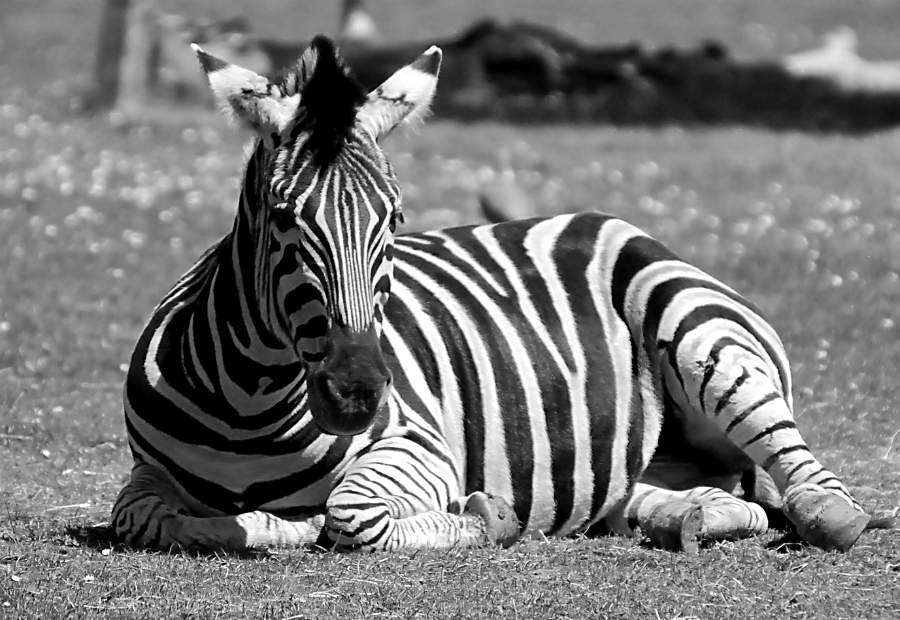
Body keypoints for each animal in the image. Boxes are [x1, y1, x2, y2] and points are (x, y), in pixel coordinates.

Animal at [112, 35, 875, 554]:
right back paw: (683, 519)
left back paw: (816, 513)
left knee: (813, 487)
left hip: (699, 327)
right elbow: (149, 519)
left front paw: (485, 516)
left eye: (394, 220)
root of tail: (605, 220)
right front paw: (268, 524)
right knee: (707, 499)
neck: (252, 407)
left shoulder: (421, 447)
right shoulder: (144, 476)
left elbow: (350, 514)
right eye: (282, 217)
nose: (357, 395)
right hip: (644, 466)